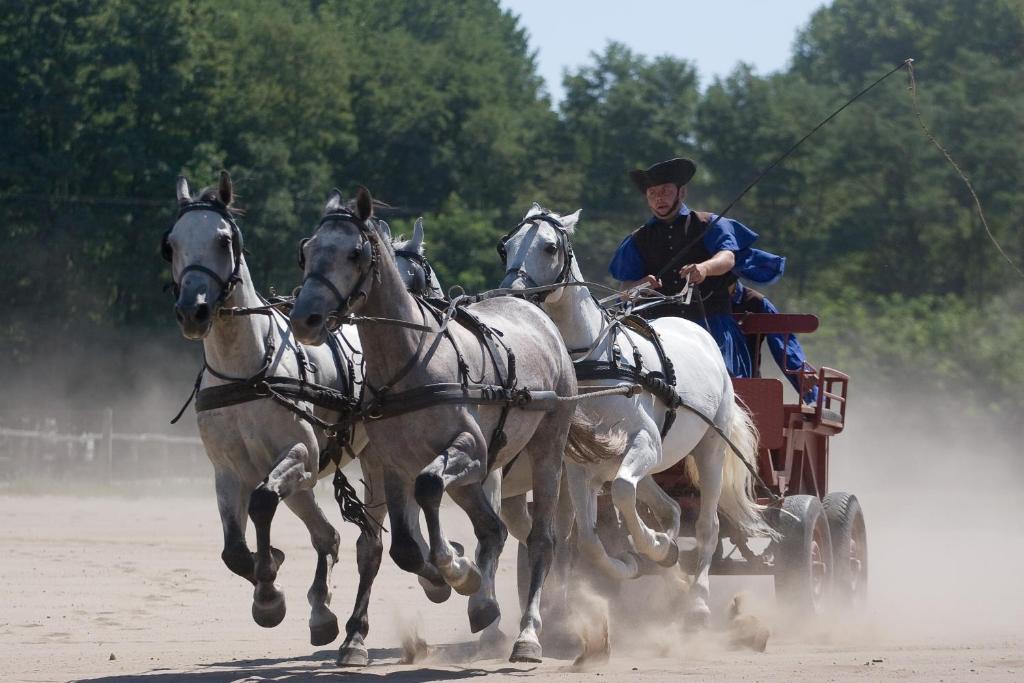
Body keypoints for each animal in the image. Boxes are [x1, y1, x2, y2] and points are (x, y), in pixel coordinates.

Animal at [288, 187, 598, 663]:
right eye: (307, 251)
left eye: (355, 253)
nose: (305, 319)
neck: (412, 361)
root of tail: (536, 314)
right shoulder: (391, 466)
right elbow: (402, 547)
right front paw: (444, 574)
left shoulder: (469, 448)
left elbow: (431, 488)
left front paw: (456, 569)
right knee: (493, 528)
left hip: (547, 448)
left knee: (543, 540)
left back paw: (528, 634)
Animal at [495, 201, 770, 626]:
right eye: (505, 247)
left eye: (549, 247)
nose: (513, 295)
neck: (596, 363)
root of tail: (696, 329)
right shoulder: (580, 465)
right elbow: (589, 539)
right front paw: (634, 561)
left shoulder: (643, 443)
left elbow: (624, 493)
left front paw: (654, 547)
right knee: (669, 507)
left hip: (709, 448)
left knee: (707, 527)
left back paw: (697, 600)